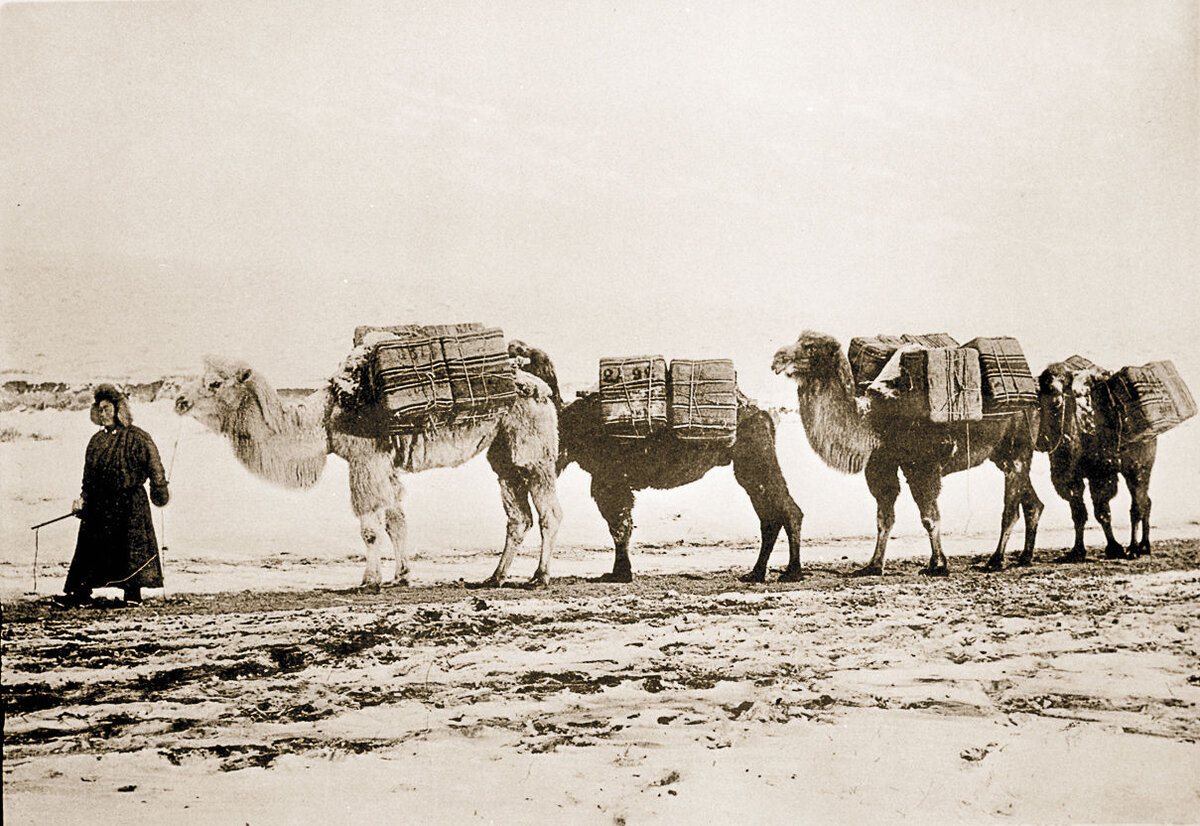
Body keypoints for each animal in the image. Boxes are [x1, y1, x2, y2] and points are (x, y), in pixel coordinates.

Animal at [172, 355, 561, 588]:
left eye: (215, 383)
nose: (179, 401)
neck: (322, 419)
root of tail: (543, 389)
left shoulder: (363, 459)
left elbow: (370, 529)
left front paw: (369, 581)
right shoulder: (382, 463)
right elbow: (396, 521)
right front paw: (401, 577)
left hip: (534, 449)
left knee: (548, 514)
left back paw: (539, 577)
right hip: (503, 454)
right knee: (518, 517)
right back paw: (494, 577)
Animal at [768, 331, 1041, 578]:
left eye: (811, 347)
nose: (777, 359)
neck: (873, 419)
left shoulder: (922, 465)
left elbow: (929, 517)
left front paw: (937, 565)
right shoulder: (881, 464)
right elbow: (884, 518)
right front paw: (873, 566)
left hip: (1017, 447)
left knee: (1011, 510)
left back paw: (995, 560)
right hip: (1001, 454)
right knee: (1033, 504)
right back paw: (1025, 557)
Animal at [1041, 360, 1152, 561]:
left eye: (1064, 380)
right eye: (1044, 382)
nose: (1054, 393)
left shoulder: (1099, 474)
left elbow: (1101, 512)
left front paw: (1115, 548)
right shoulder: (1070, 479)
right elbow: (1078, 514)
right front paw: (1077, 551)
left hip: (1139, 465)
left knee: (1137, 505)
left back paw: (1134, 548)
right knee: (1146, 501)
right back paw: (1144, 546)